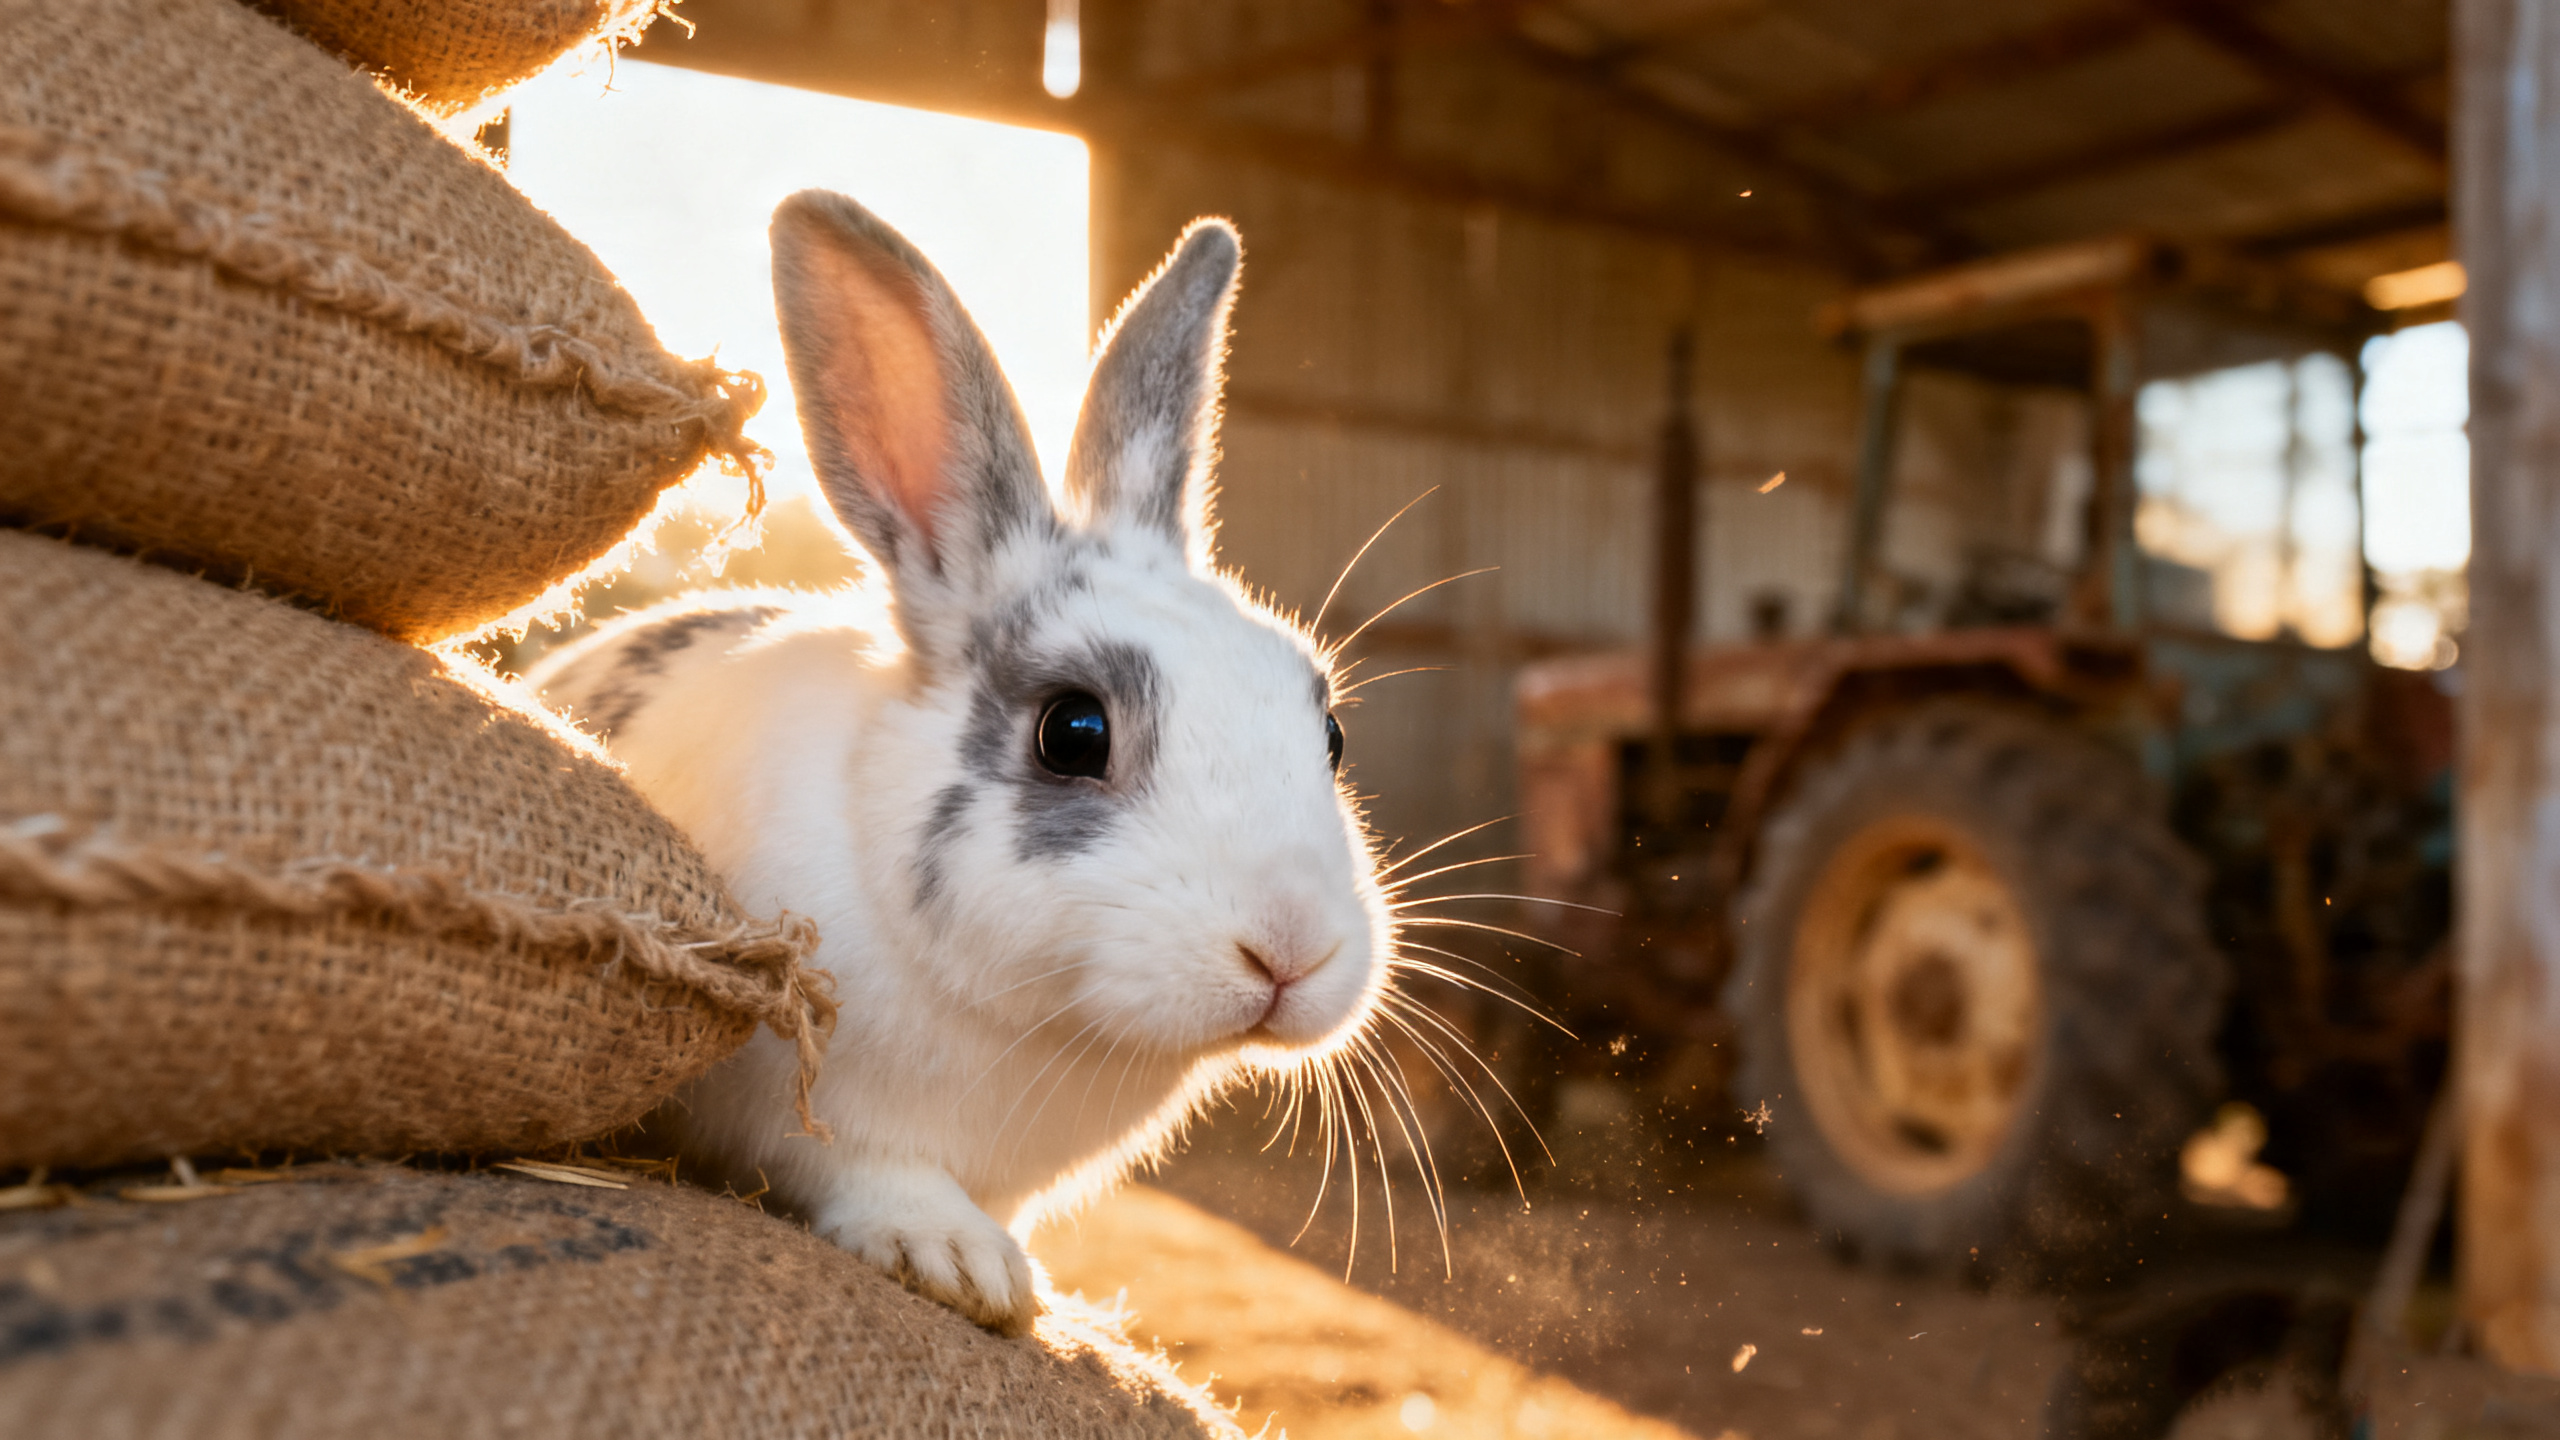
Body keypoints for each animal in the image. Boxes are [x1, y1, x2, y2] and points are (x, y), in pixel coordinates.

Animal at [530, 190, 1391, 1336]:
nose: (1289, 952)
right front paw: (958, 1263)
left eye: (1328, 732)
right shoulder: (814, 1121)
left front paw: (1031, 1283)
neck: (1032, 1022)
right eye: (1073, 732)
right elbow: (876, 1177)